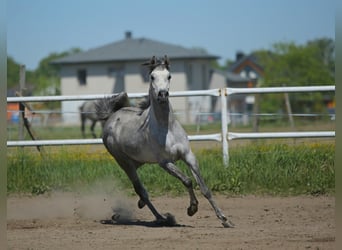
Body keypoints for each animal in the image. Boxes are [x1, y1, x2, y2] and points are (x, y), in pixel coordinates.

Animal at [96, 55, 235, 228]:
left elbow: (204, 188)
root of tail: (112, 117)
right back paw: (162, 218)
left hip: (138, 161)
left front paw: (225, 219)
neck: (166, 128)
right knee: (141, 190)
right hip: (125, 163)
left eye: (169, 76)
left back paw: (142, 207)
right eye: (152, 76)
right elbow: (187, 181)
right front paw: (192, 208)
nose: (162, 94)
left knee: (142, 192)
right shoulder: (165, 163)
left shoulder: (189, 156)